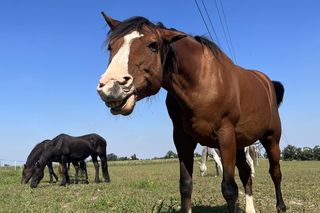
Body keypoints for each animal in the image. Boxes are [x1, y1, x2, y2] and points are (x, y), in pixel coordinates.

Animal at [96, 13, 286, 213]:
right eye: (111, 47)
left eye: (153, 45)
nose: (110, 87)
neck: (201, 83)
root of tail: (267, 82)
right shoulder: (182, 139)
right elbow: (186, 185)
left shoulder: (225, 136)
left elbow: (229, 188)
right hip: (240, 143)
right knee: (246, 173)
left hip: (271, 138)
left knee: (275, 172)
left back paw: (281, 206)